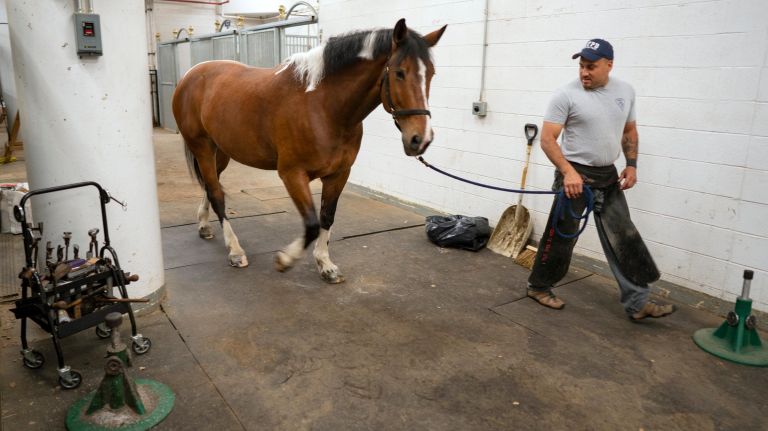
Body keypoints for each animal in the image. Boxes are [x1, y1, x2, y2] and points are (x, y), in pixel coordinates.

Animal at [172, 18, 446, 283]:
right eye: (400, 73)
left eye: (432, 74)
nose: (420, 139)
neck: (323, 107)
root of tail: (191, 74)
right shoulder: (292, 175)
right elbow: (313, 223)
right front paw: (285, 260)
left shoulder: (339, 175)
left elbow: (327, 217)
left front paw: (326, 265)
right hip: (202, 147)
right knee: (217, 194)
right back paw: (235, 251)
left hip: (221, 152)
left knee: (211, 186)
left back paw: (204, 225)